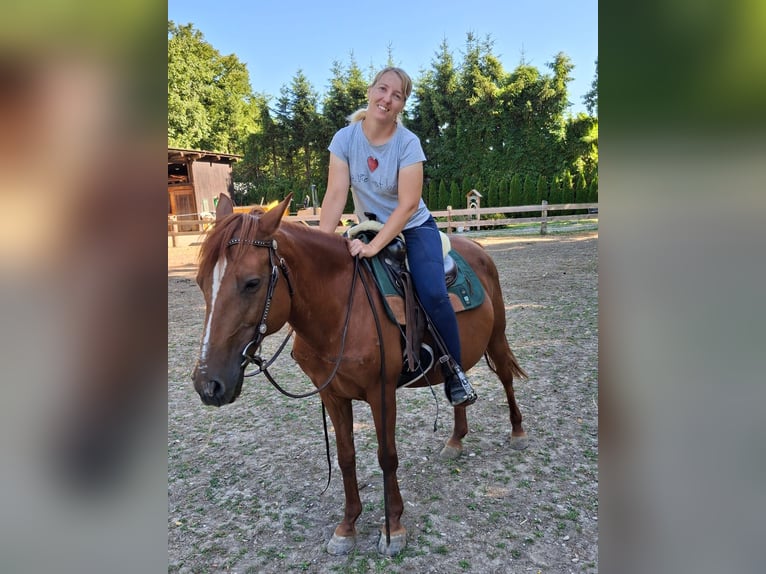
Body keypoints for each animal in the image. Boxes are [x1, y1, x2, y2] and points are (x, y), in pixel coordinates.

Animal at [191, 193, 528, 556]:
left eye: (252, 283)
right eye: (200, 282)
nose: (208, 384)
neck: (340, 313)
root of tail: (478, 247)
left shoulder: (382, 393)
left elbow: (387, 457)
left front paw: (393, 527)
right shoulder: (333, 395)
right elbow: (346, 457)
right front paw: (347, 526)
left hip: (497, 338)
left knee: (506, 377)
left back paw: (518, 432)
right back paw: (455, 440)